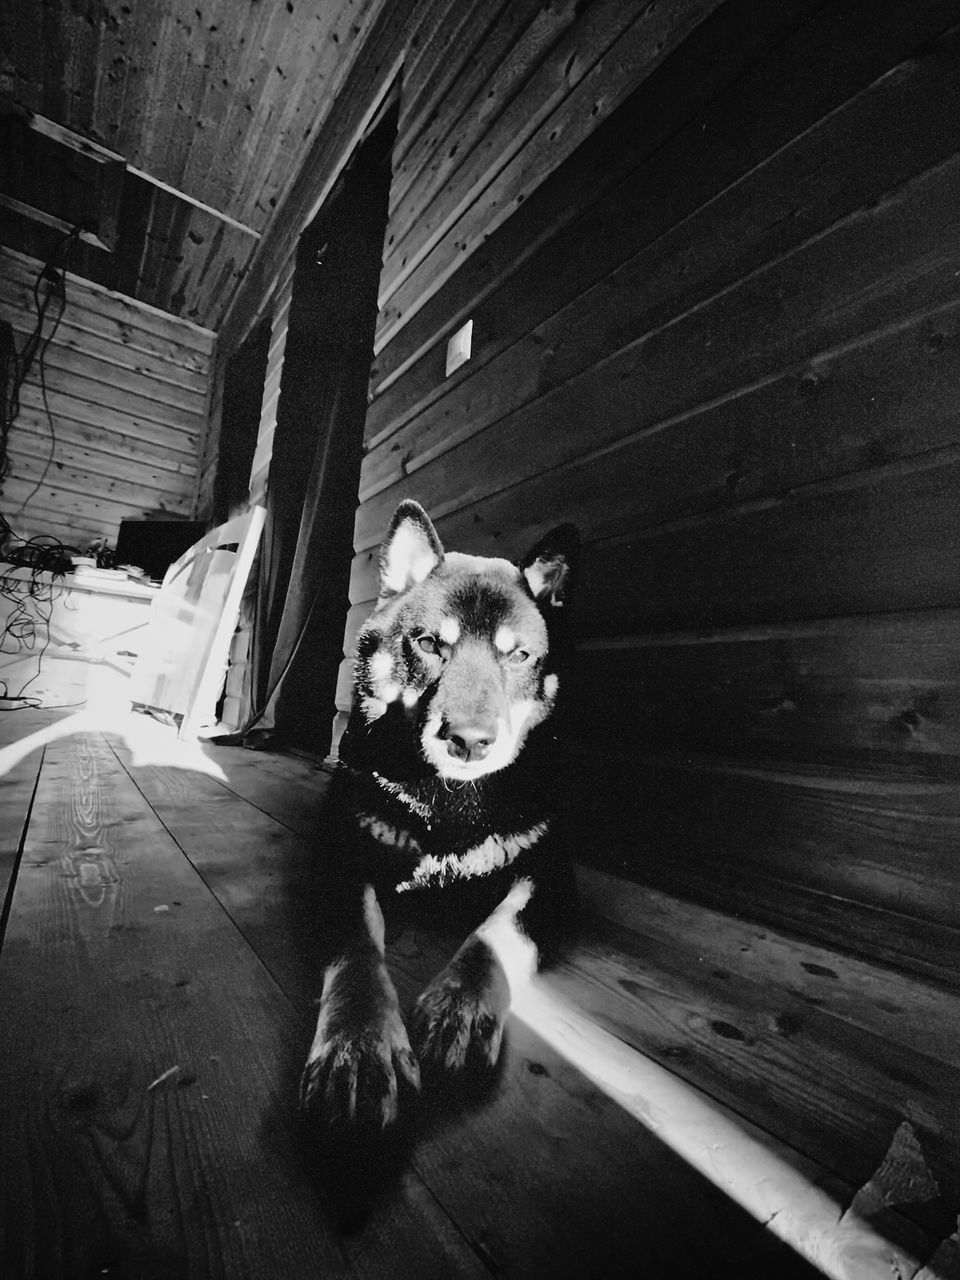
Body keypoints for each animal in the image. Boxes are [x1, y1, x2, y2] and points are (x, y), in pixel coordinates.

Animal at [300, 496, 578, 1141]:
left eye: (519, 655)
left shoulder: (551, 877)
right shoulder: (342, 862)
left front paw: (461, 1008)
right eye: (429, 644)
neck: (451, 805)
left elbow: (496, 933)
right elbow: (358, 949)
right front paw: (360, 1045)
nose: (469, 741)